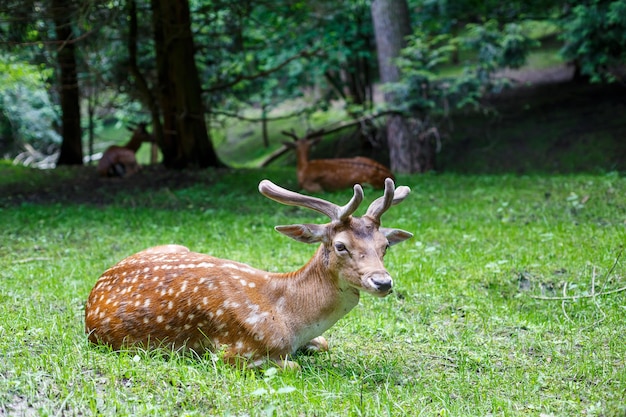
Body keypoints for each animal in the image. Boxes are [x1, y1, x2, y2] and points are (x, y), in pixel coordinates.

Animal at [85, 178, 412, 368]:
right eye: (341, 245)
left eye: (384, 245)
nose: (383, 282)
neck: (291, 320)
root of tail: (96, 284)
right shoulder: (234, 351)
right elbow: (293, 365)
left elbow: (324, 343)